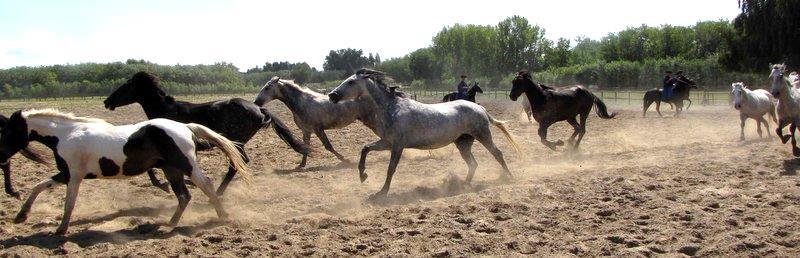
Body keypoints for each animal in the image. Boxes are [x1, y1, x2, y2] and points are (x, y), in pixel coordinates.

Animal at [0, 108, 248, 234]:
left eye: (9, 131)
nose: (1, 156)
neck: (66, 135)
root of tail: (185, 127)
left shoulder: (75, 176)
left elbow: (69, 203)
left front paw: (60, 230)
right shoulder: (66, 173)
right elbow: (38, 186)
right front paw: (21, 215)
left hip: (184, 164)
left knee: (204, 185)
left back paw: (222, 216)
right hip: (171, 169)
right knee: (184, 195)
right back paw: (169, 225)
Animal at [104, 71, 310, 195]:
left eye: (126, 86)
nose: (107, 101)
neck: (166, 111)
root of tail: (259, 109)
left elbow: (152, 171)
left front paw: (165, 185)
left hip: (236, 141)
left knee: (236, 165)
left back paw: (218, 192)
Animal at [328, 68, 520, 200]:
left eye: (351, 82)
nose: (331, 95)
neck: (393, 108)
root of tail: (480, 108)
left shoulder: (397, 145)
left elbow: (391, 169)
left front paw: (381, 193)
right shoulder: (387, 142)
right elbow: (365, 148)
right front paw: (363, 175)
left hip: (483, 135)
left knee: (497, 153)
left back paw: (509, 178)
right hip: (463, 143)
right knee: (473, 163)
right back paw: (463, 186)